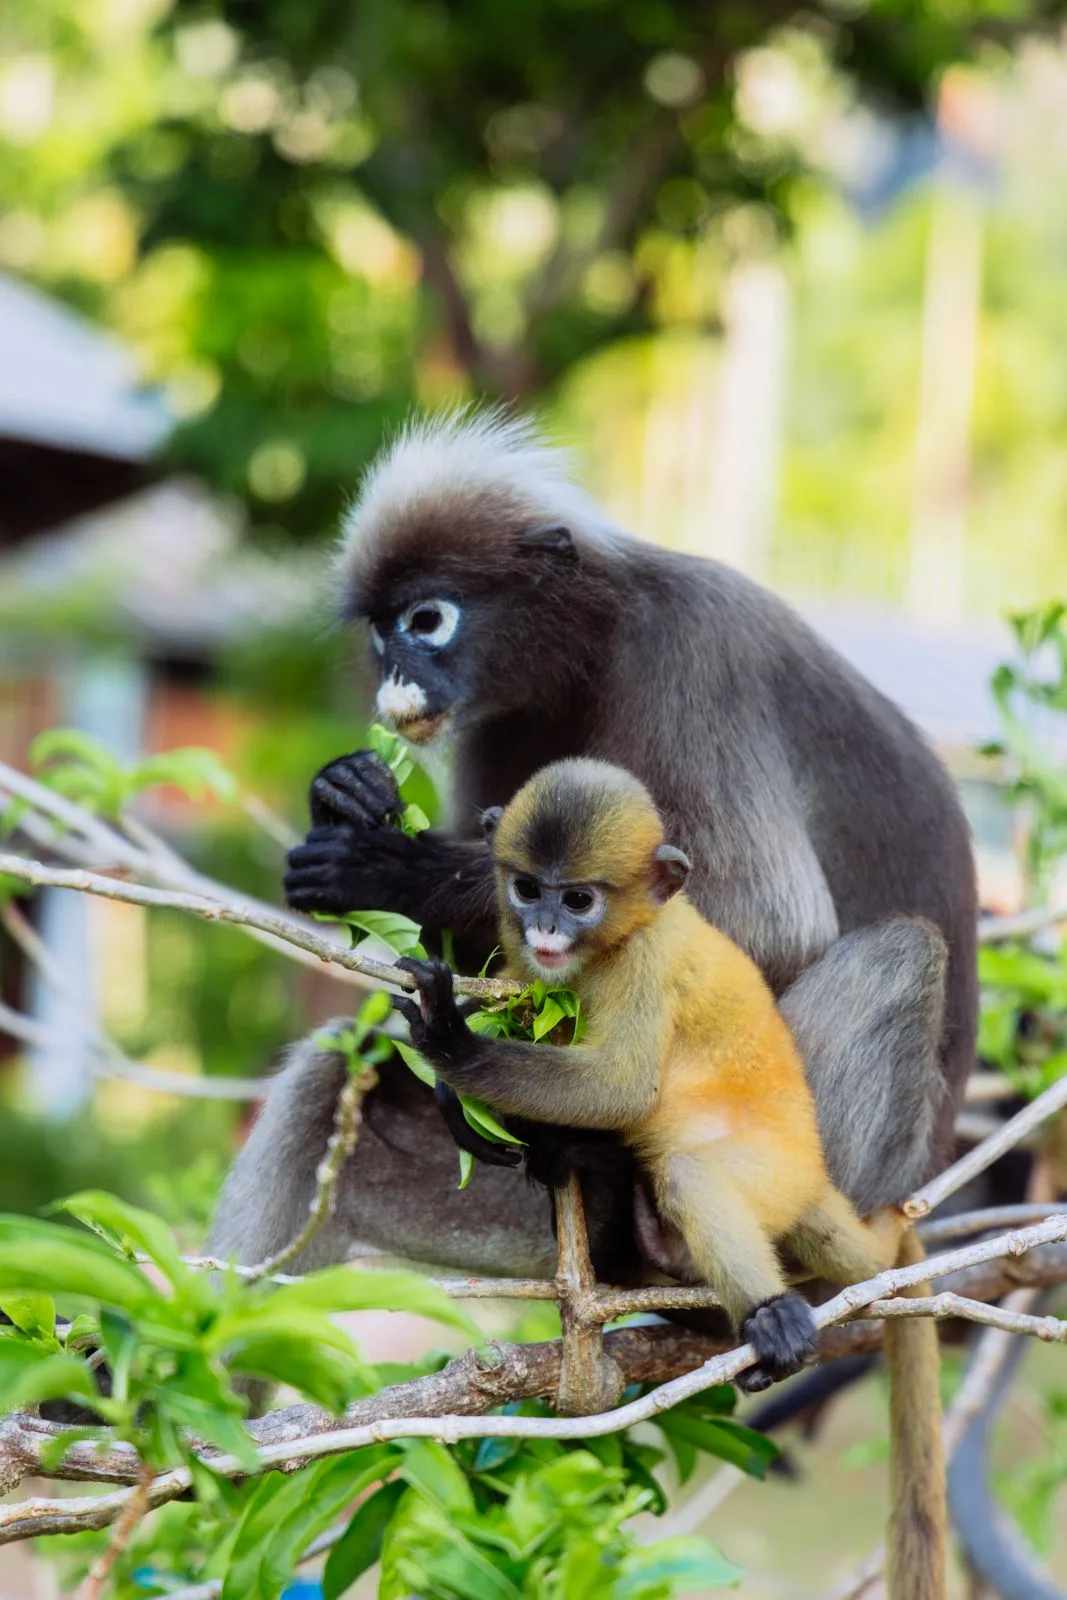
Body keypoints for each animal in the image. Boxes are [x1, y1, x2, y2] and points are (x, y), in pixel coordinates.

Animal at [393, 759, 908, 1390]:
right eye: (528, 890)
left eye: (578, 900)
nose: (544, 929)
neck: (624, 935)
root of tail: (814, 1175)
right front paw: (452, 1090)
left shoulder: (644, 962)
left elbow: (626, 1090)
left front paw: (450, 1043)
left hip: (773, 1174)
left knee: (689, 1173)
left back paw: (772, 1316)